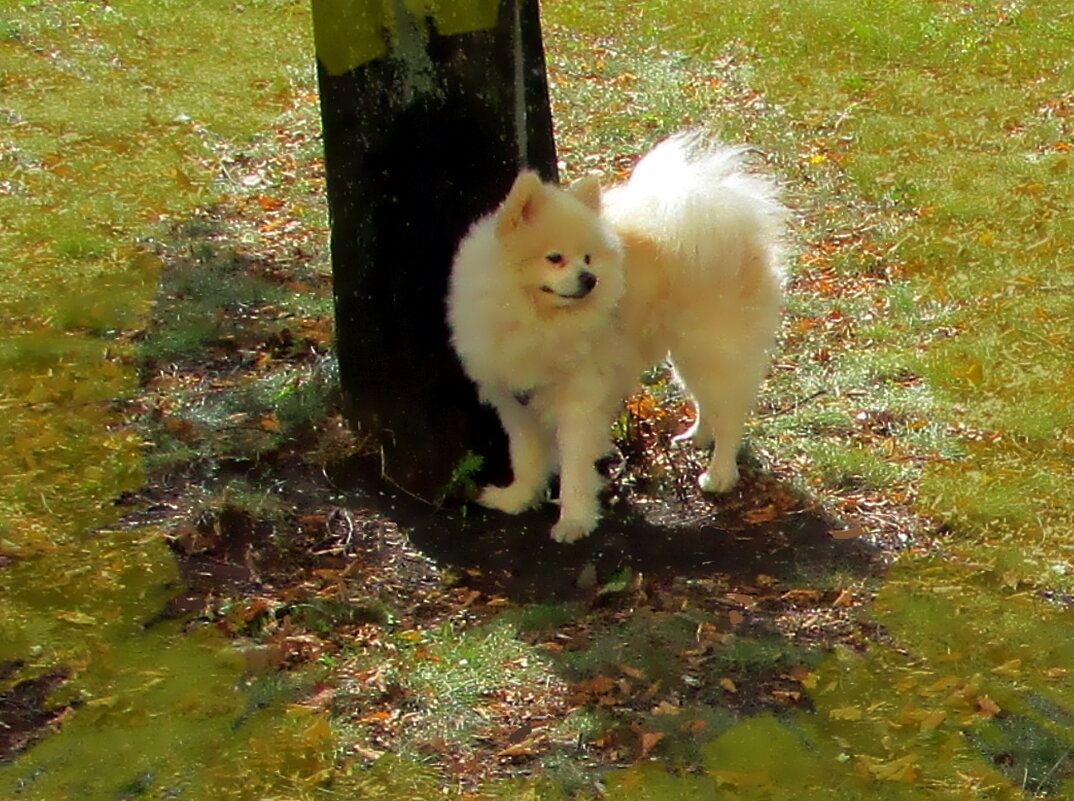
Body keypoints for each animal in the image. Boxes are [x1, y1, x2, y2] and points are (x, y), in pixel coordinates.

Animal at [448, 132, 786, 543]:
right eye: (555, 258)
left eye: (588, 258)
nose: (589, 279)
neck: (538, 320)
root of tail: (728, 221)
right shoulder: (514, 397)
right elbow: (525, 455)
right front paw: (517, 498)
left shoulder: (579, 401)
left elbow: (575, 467)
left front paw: (574, 521)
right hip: (688, 353)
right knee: (708, 401)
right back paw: (697, 436)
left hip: (710, 347)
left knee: (730, 412)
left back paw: (720, 473)